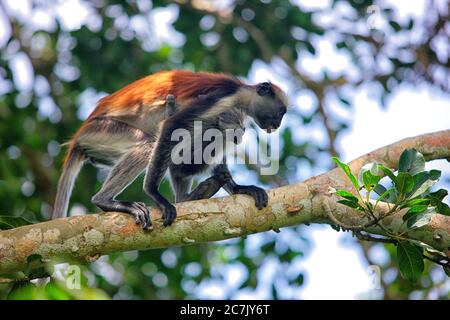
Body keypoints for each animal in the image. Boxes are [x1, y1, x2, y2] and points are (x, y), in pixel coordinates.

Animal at [52, 71, 288, 229]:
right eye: (280, 113)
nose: (277, 125)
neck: (240, 91)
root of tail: (80, 135)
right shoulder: (221, 97)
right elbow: (172, 126)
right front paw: (155, 194)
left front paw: (240, 188)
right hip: (103, 131)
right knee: (153, 143)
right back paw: (105, 201)